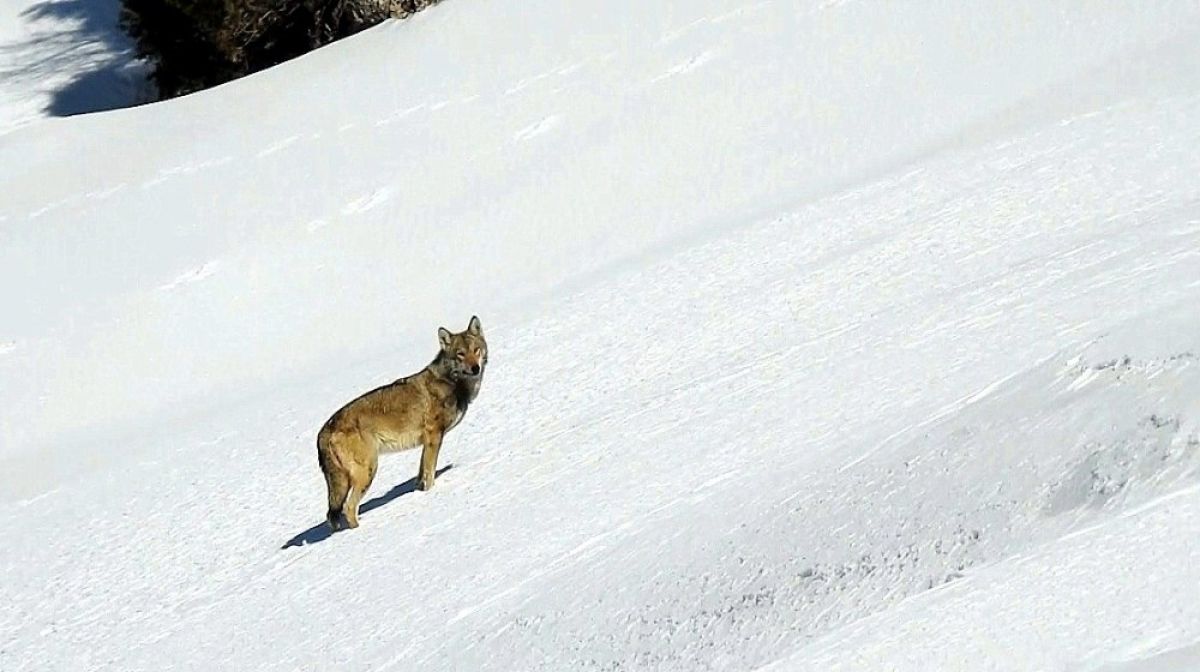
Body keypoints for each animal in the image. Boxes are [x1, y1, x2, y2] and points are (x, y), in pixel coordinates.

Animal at [319, 316, 492, 532]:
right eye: (460, 354)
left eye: (476, 350)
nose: (475, 368)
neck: (452, 382)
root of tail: (324, 431)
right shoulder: (434, 437)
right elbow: (430, 473)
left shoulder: (427, 443)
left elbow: (421, 475)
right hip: (368, 471)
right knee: (348, 508)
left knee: (331, 515)